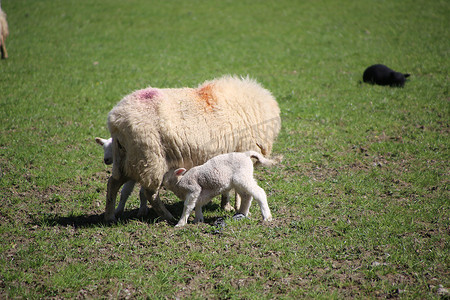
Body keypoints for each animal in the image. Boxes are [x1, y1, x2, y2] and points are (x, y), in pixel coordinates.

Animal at [106, 75, 282, 223]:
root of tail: (116, 120)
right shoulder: (242, 150)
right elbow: (238, 190)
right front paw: (237, 206)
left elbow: (228, 188)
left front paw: (226, 205)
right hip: (149, 159)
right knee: (150, 193)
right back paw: (167, 216)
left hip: (127, 159)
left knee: (112, 183)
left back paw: (110, 216)